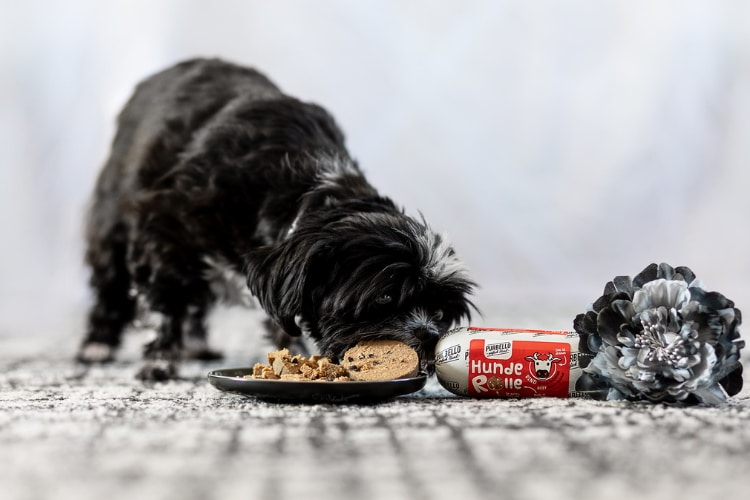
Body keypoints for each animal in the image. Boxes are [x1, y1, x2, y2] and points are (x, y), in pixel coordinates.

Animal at [76, 58, 476, 378]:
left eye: (441, 311)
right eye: (385, 297)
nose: (428, 334)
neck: (304, 186)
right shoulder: (163, 224)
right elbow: (165, 300)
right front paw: (159, 359)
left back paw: (195, 342)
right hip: (111, 220)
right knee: (113, 284)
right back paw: (97, 345)